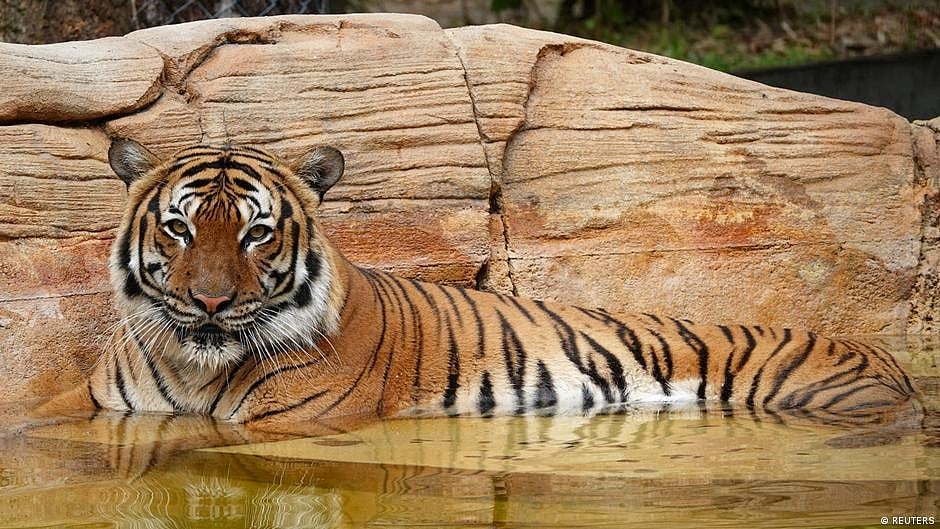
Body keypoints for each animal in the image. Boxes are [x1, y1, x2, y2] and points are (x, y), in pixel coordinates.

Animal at [39, 139, 918, 432]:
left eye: (256, 232)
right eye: (180, 229)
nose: (212, 302)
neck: (196, 364)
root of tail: (893, 362)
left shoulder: (290, 422)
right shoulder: (94, 402)